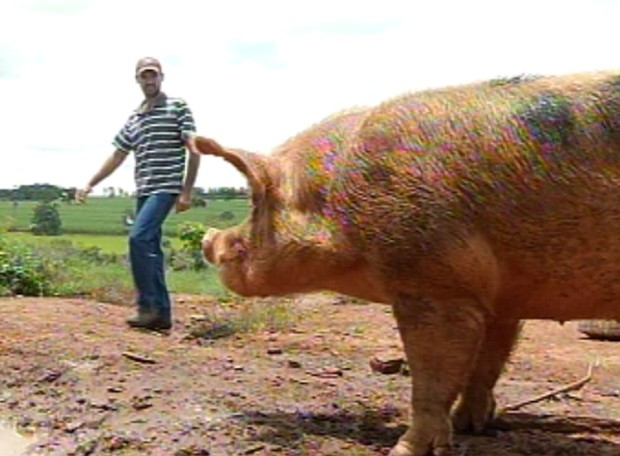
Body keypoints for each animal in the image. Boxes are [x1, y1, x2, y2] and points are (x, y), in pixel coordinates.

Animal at [191, 68, 620, 456]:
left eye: (256, 204)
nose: (207, 241)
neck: (339, 201)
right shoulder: (499, 299)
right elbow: (485, 364)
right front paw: (473, 427)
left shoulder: (434, 281)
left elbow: (432, 374)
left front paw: (404, 449)